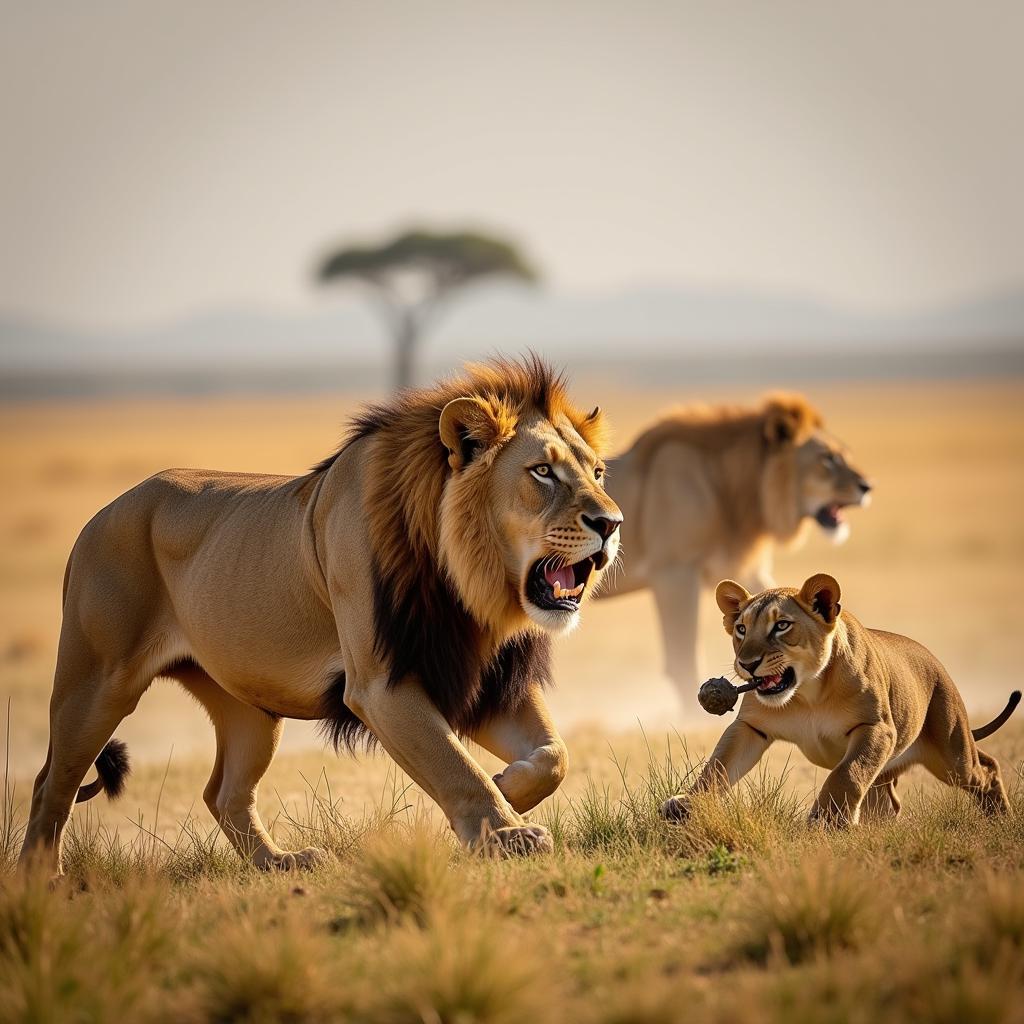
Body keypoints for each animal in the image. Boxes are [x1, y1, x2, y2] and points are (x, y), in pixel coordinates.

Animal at [19, 354, 618, 872]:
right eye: (542, 472)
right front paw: (506, 831)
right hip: (96, 682)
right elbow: (455, 765)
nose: (611, 523)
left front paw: (509, 786)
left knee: (223, 793)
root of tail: (103, 512)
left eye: (598, 473)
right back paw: (42, 879)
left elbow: (554, 754)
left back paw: (281, 862)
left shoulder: (485, 681)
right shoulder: (381, 685)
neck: (471, 586)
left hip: (249, 709)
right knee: (52, 781)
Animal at [598, 393, 872, 712]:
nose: (867, 487)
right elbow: (684, 659)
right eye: (827, 458)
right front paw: (693, 716)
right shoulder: (674, 573)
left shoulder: (742, 567)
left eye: (844, 453)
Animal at [659, 577, 1019, 823]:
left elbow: (847, 773)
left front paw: (826, 822)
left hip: (952, 753)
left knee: (986, 769)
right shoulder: (751, 727)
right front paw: (686, 805)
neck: (807, 693)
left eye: (782, 625)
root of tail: (937, 664)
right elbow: (717, 767)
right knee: (887, 804)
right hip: (898, 770)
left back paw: (1001, 820)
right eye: (742, 629)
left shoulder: (876, 728)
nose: (747, 664)